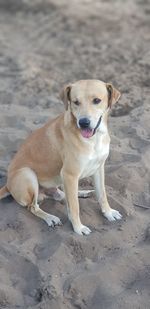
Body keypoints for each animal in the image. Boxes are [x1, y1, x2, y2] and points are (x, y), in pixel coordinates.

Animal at [0, 79, 122, 233]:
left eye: (96, 100)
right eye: (75, 102)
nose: (83, 123)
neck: (94, 139)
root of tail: (7, 185)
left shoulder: (99, 168)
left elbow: (102, 195)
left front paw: (108, 212)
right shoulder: (69, 174)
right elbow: (75, 207)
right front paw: (78, 228)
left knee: (61, 195)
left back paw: (81, 193)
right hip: (27, 174)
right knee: (34, 206)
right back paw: (50, 217)